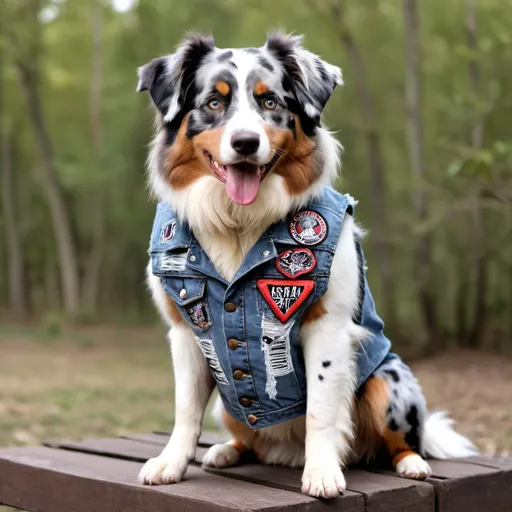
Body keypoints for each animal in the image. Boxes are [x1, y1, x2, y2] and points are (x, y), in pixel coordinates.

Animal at [135, 33, 476, 500]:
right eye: (213, 103)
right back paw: (226, 450)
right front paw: (171, 462)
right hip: (228, 406)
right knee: (246, 434)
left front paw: (322, 473)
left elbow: (320, 410)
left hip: (388, 381)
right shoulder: (186, 330)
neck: (239, 223)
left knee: (403, 439)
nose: (246, 142)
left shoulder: (326, 325)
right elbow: (185, 408)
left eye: (271, 101)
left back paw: (412, 464)